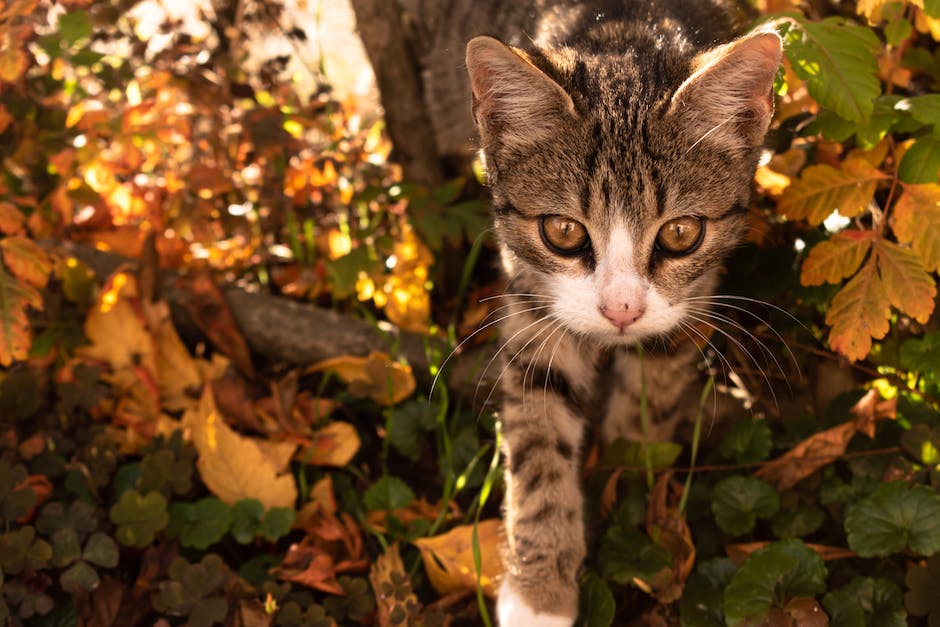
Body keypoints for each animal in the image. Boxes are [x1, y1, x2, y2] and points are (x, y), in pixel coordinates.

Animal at [416, 2, 780, 624]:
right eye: (563, 231)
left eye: (681, 233)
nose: (620, 310)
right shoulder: (534, 299)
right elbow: (538, 437)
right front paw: (539, 593)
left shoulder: (687, 301)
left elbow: (650, 396)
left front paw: (624, 471)